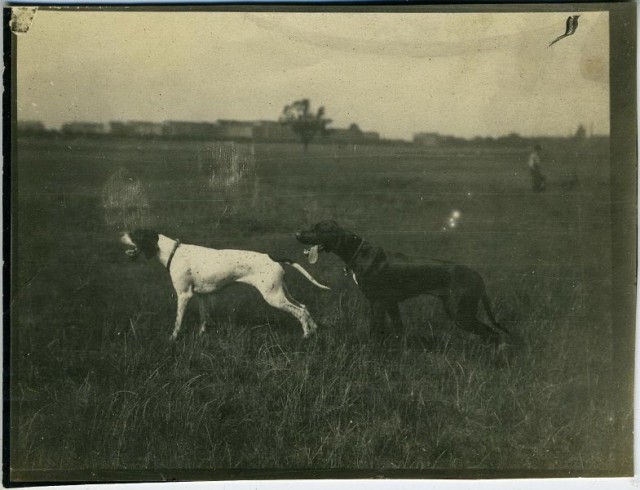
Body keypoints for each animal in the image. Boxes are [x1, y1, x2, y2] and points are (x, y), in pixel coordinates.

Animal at [120, 230, 330, 340]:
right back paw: (314, 330)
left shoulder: (184, 295)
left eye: (134, 234)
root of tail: (272, 257)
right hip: (281, 293)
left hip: (274, 297)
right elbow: (204, 318)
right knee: (305, 307)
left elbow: (178, 321)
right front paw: (201, 335)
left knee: (300, 312)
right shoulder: (201, 295)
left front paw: (173, 338)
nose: (121, 234)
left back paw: (305, 335)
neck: (173, 252)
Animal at [298, 220, 512, 346]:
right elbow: (399, 329)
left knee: (492, 334)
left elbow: (376, 330)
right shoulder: (390, 303)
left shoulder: (378, 303)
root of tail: (477, 275)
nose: (297, 234)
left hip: (460, 313)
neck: (359, 252)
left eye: (318, 229)